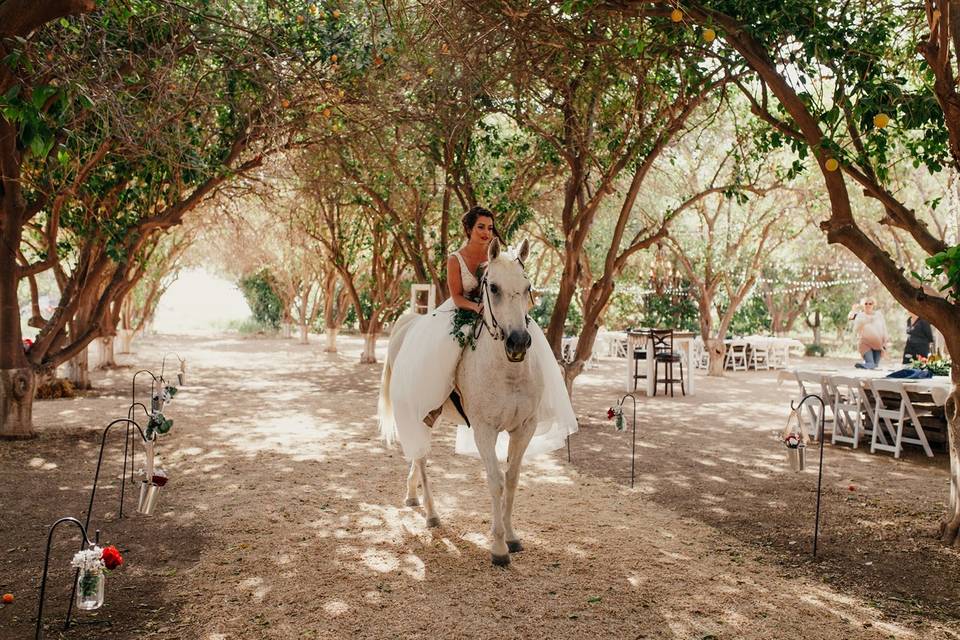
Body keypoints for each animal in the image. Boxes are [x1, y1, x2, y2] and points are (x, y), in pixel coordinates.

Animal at [380, 239, 544, 564]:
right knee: (421, 457)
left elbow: (513, 479)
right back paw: (432, 514)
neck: (509, 373)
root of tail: (407, 324)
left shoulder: (524, 428)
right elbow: (496, 481)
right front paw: (498, 547)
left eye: (528, 286)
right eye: (492, 287)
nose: (518, 342)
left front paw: (512, 537)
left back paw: (412, 494)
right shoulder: (484, 430)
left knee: (418, 453)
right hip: (418, 412)